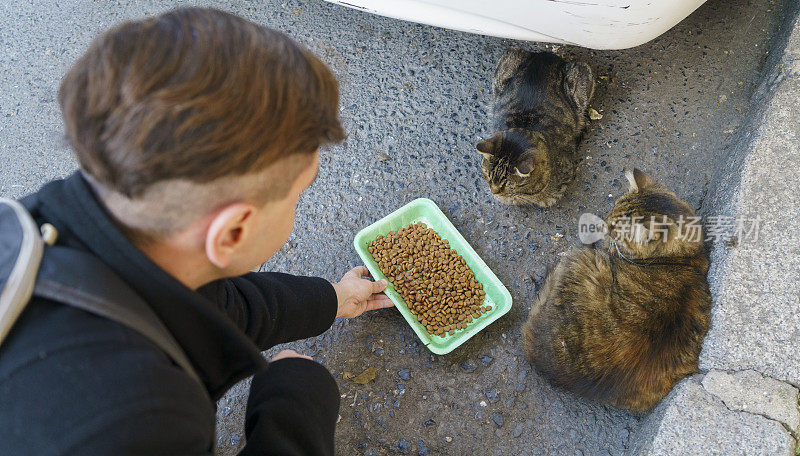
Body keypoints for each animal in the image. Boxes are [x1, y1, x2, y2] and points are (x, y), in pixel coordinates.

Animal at [476, 48, 592, 207]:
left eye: (508, 183)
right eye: (488, 175)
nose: (493, 190)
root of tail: (546, 56)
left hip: (582, 73)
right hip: (508, 59)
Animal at [524, 169, 712, 412]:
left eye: (615, 228)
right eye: (611, 210)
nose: (603, 224)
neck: (680, 258)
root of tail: (536, 355)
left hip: (585, 260)